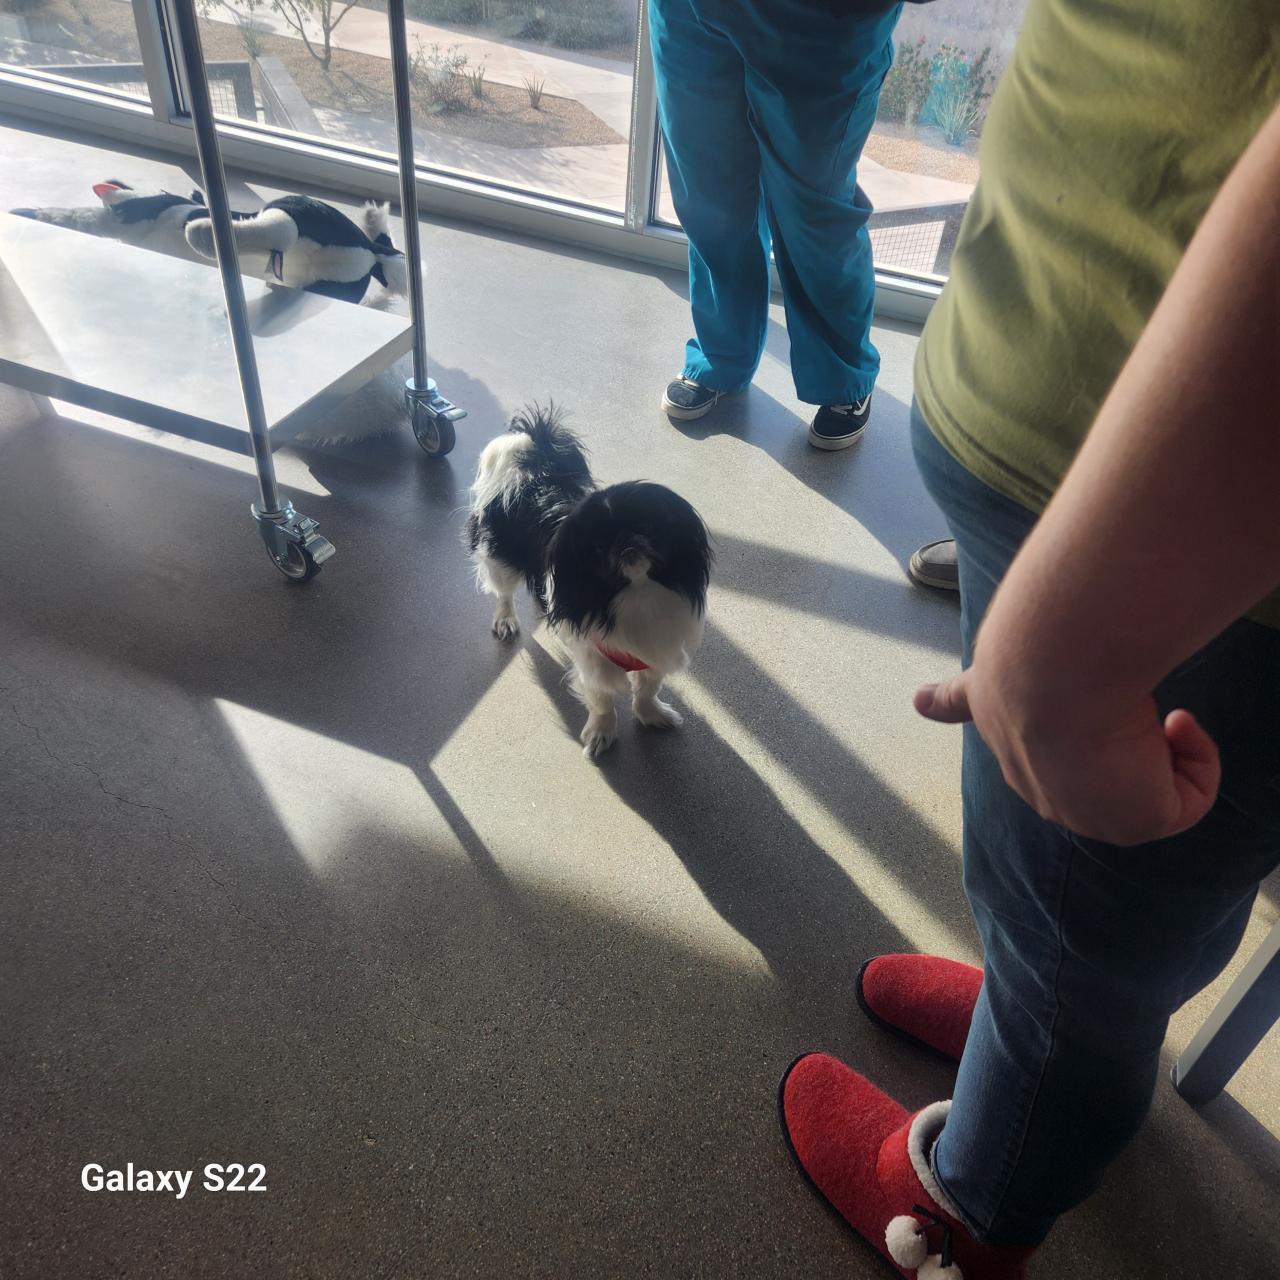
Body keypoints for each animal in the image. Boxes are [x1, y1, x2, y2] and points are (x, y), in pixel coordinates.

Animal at [467, 406, 711, 759]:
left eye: (649, 528)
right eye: (596, 546)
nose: (626, 541)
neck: (635, 594)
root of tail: (532, 466)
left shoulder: (655, 651)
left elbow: (647, 689)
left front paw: (652, 715)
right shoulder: (594, 660)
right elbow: (602, 700)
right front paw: (601, 734)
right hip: (499, 559)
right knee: (504, 593)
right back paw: (505, 620)